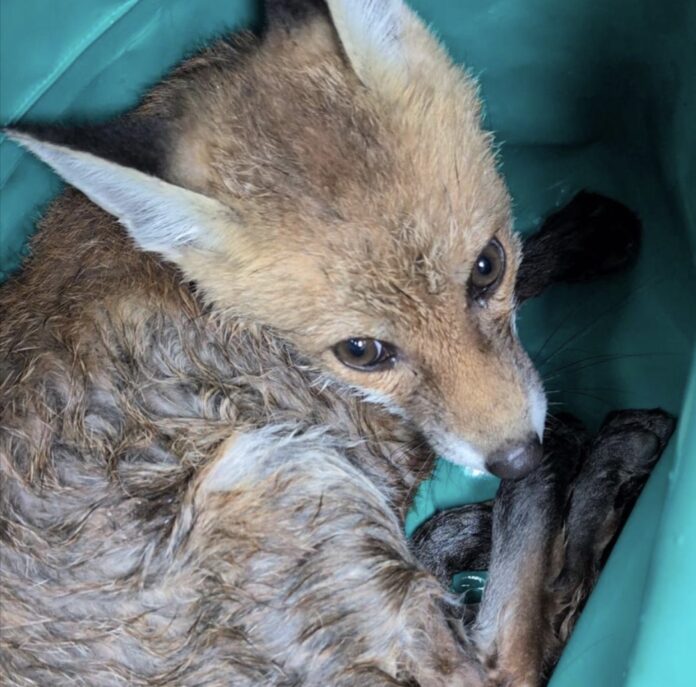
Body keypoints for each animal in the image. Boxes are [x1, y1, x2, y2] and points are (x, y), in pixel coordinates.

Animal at [0, 0, 669, 685]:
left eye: (486, 267)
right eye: (361, 352)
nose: (516, 459)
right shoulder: (393, 430)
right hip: (287, 476)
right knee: (512, 656)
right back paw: (597, 462)